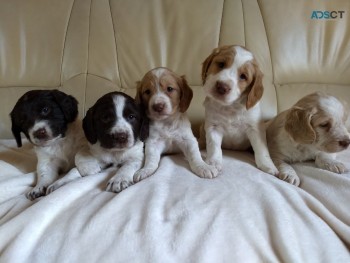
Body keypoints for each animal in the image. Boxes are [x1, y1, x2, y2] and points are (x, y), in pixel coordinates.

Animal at [200, 45, 278, 176]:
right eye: (221, 64)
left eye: (243, 76)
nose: (222, 87)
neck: (230, 107)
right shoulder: (213, 126)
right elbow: (214, 146)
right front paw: (213, 162)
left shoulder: (255, 128)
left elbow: (261, 148)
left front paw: (268, 165)